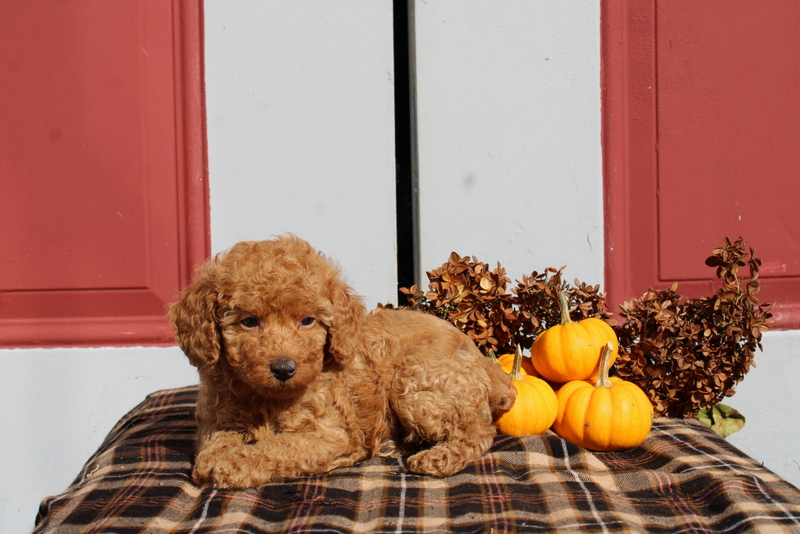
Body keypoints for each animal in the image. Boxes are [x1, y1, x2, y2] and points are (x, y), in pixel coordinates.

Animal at [170, 234, 520, 490]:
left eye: (307, 321)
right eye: (249, 322)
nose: (284, 368)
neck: (265, 397)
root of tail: (483, 361)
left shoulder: (330, 434)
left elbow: (279, 447)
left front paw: (237, 462)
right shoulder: (219, 419)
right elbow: (215, 443)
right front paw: (216, 459)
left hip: (415, 384)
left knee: (479, 431)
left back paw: (437, 458)